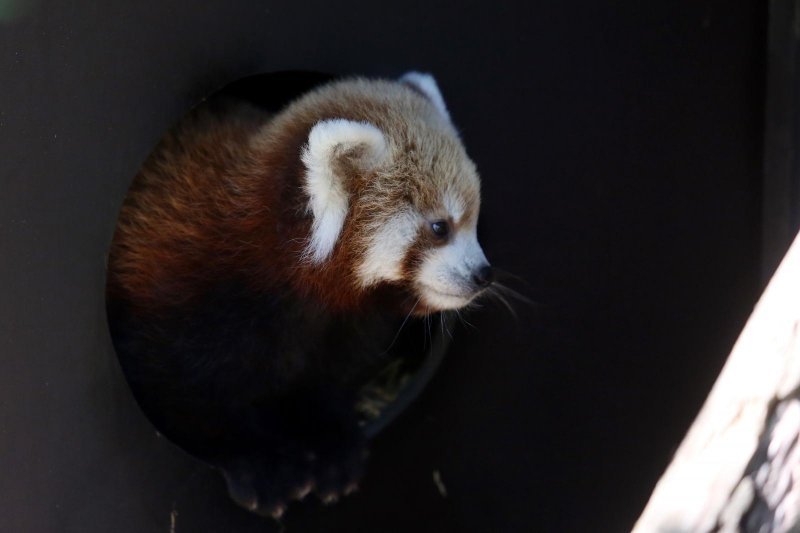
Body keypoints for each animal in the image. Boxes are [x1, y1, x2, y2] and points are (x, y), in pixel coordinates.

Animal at [104, 70, 494, 516]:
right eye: (439, 228)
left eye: (473, 220)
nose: (483, 274)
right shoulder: (181, 300)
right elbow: (181, 395)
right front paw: (258, 463)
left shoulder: (340, 326)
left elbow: (326, 382)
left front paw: (332, 447)